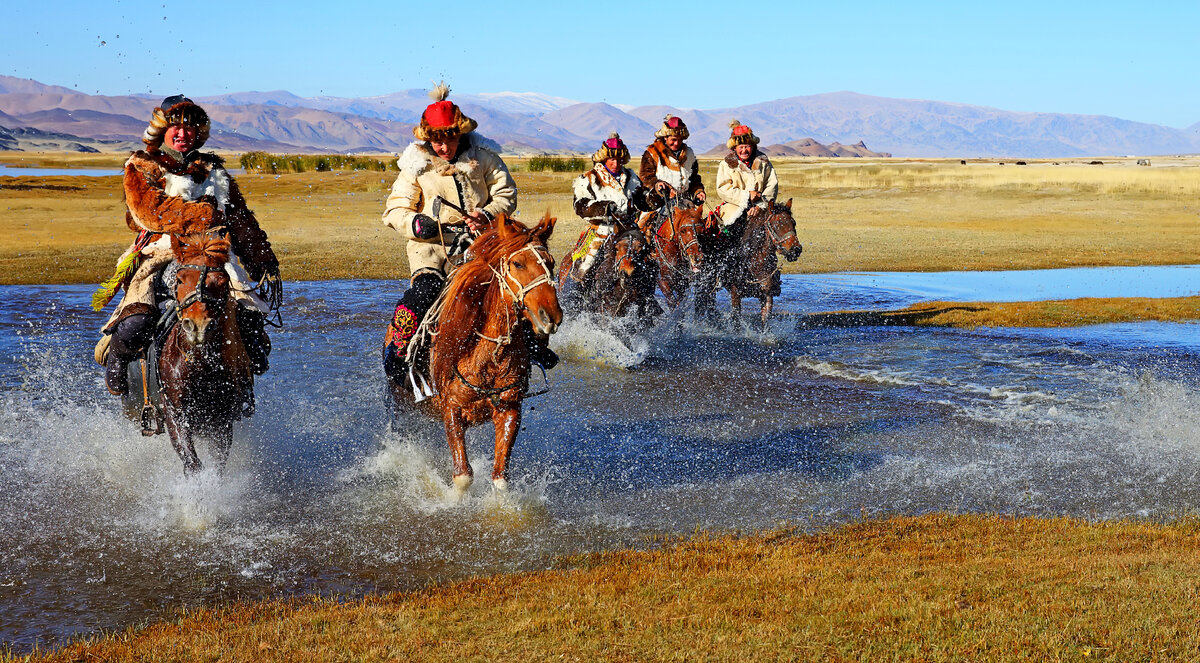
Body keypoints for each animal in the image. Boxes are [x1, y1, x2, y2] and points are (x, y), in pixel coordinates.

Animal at [157, 233, 253, 470]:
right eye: (180, 279)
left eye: (222, 281)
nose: (198, 326)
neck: (200, 366)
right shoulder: (175, 414)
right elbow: (192, 462)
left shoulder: (221, 420)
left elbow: (218, 462)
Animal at [391, 214, 564, 494]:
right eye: (517, 263)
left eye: (551, 262)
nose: (551, 316)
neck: (488, 357)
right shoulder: (451, 409)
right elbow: (463, 476)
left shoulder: (510, 410)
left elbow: (500, 478)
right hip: (399, 403)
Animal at [705, 198, 801, 329]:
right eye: (777, 224)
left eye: (793, 223)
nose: (796, 250)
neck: (753, 262)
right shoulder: (736, 294)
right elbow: (736, 322)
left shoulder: (767, 295)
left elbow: (765, 322)